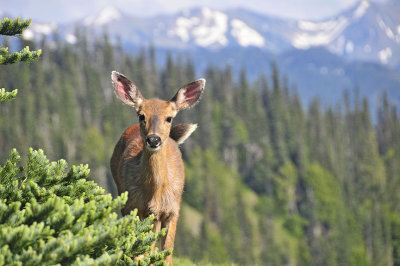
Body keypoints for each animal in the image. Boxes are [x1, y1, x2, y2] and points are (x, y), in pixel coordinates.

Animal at [108, 70, 205, 264]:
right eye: (141, 115)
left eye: (169, 118)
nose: (153, 139)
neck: (155, 192)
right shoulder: (134, 207)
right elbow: (140, 251)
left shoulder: (173, 210)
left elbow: (167, 254)